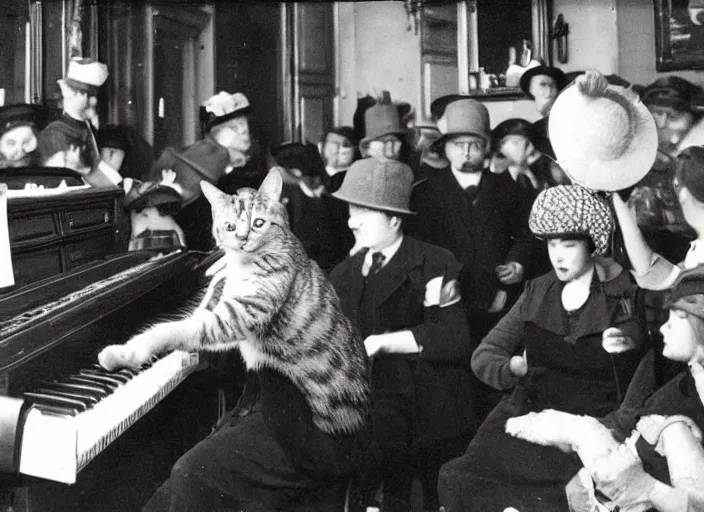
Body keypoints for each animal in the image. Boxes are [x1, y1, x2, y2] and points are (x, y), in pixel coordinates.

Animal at [102, 170, 374, 434]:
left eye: (258, 223)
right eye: (230, 226)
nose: (243, 239)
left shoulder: (235, 317)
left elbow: (173, 329)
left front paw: (123, 353)